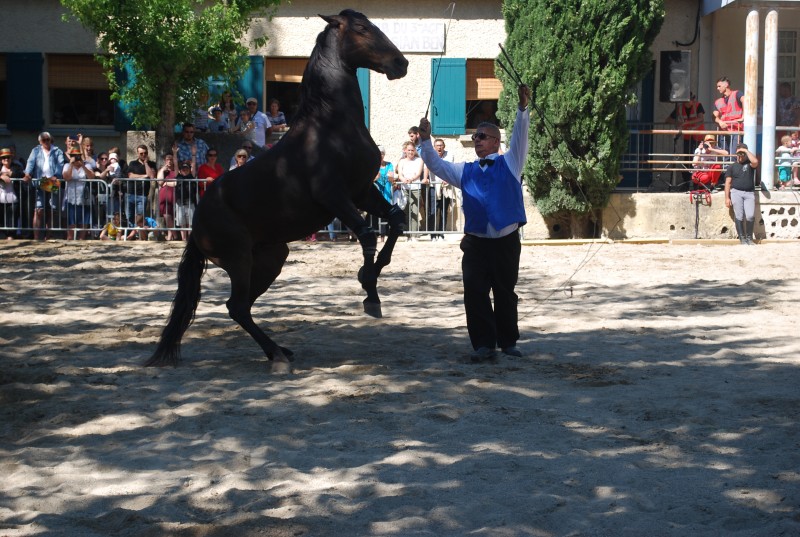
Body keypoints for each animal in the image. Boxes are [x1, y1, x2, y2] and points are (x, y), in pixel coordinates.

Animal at [148, 10, 410, 370]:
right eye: (361, 28)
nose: (401, 63)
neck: (332, 126)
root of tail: (197, 222)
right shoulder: (334, 196)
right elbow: (368, 234)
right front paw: (370, 293)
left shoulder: (362, 191)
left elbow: (396, 222)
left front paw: (372, 273)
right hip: (239, 258)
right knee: (237, 306)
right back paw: (278, 356)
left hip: (272, 257)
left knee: (241, 307)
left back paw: (279, 350)